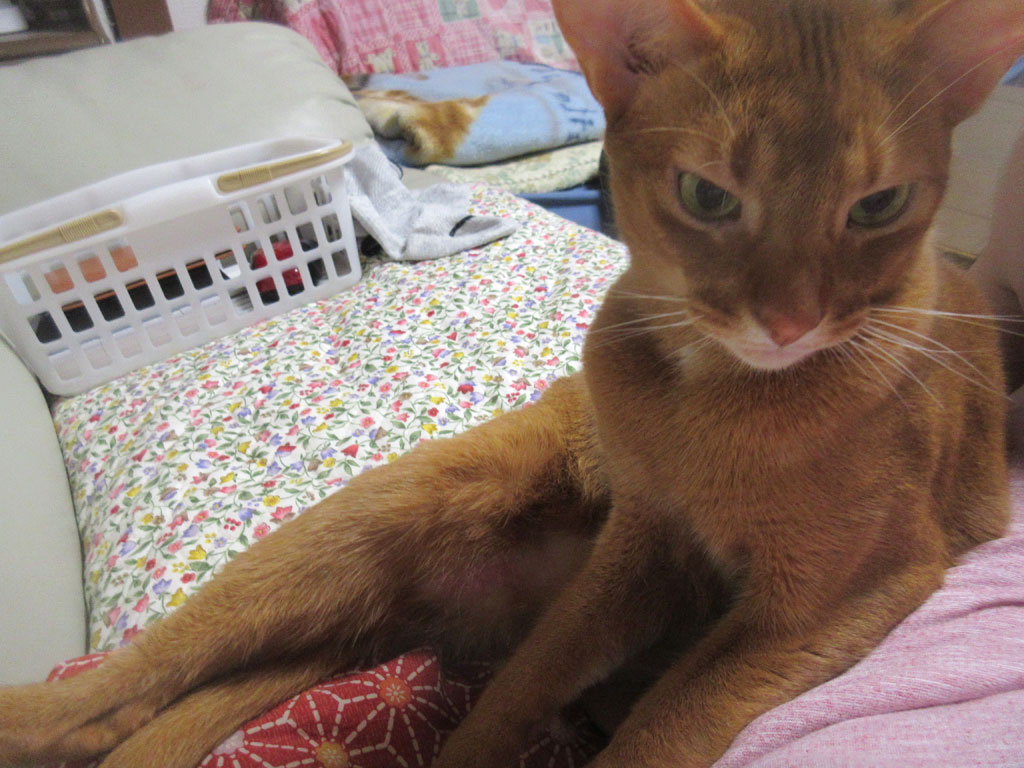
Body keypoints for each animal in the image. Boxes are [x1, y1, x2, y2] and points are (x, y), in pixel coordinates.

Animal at [2, 0, 1023, 766]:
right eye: (708, 197)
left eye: (879, 206)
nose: (789, 321)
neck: (707, 403)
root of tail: (424, 619)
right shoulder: (639, 544)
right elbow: (529, 682)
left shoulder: (843, 593)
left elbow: (666, 723)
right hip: (389, 508)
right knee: (144, 672)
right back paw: (30, 719)